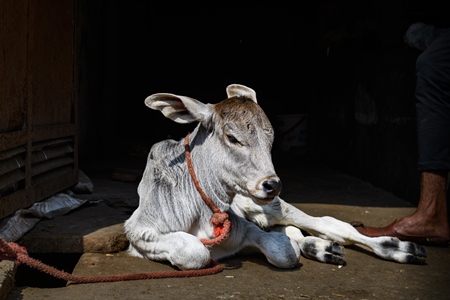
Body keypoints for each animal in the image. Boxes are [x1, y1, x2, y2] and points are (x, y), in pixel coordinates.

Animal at [125, 84, 428, 270]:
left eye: (271, 138)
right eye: (232, 137)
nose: (272, 184)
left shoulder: (247, 226)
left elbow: (284, 250)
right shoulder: (139, 231)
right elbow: (194, 251)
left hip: (274, 206)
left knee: (331, 225)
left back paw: (400, 249)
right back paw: (322, 248)